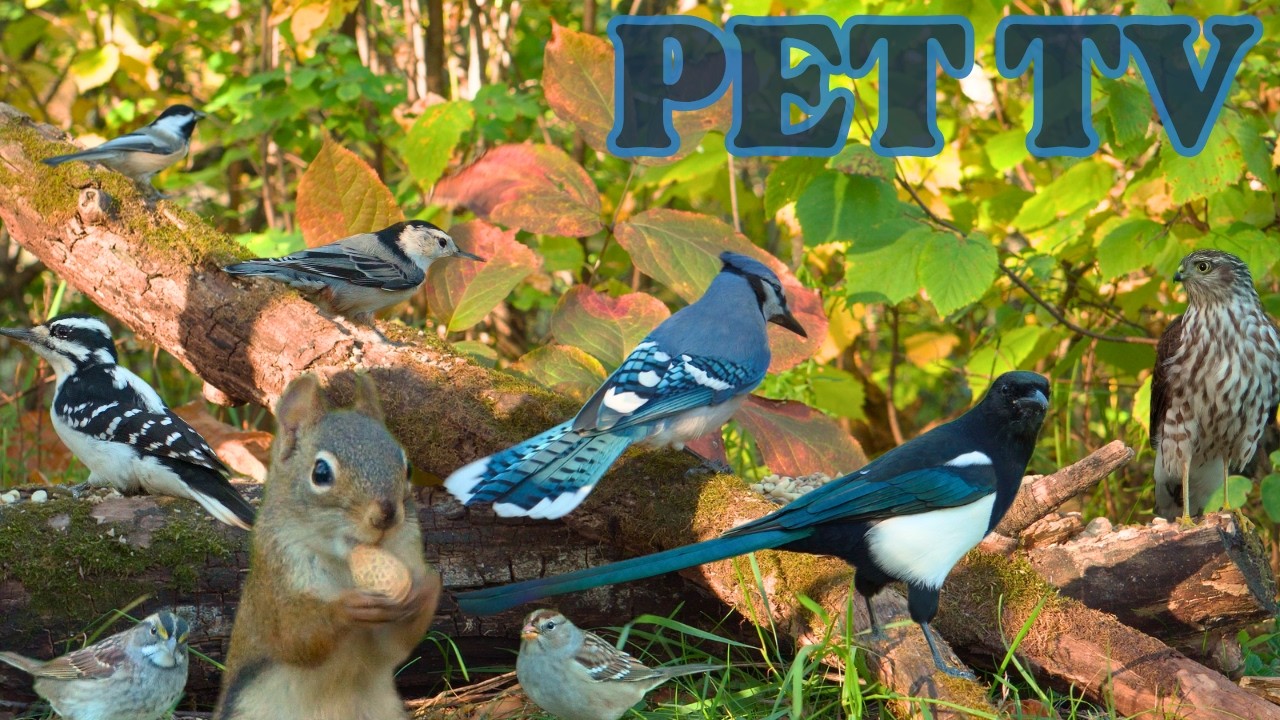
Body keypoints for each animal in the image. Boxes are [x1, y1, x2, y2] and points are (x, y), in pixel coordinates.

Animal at [214, 373, 441, 720]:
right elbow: (298, 638)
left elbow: (395, 644)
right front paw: (348, 606)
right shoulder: (276, 584)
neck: (345, 560)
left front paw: (428, 589)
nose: (386, 514)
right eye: (320, 472)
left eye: (408, 468)